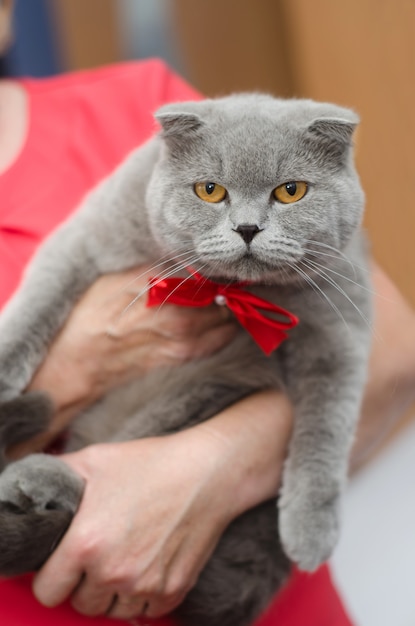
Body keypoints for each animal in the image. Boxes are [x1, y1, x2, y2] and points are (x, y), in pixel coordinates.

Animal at [0, 94, 372, 624]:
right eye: (209, 191)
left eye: (291, 191)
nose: (247, 227)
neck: (228, 292)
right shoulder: (89, 234)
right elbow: (41, 296)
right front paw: (4, 367)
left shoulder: (338, 325)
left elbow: (328, 426)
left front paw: (311, 529)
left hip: (204, 384)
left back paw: (37, 480)